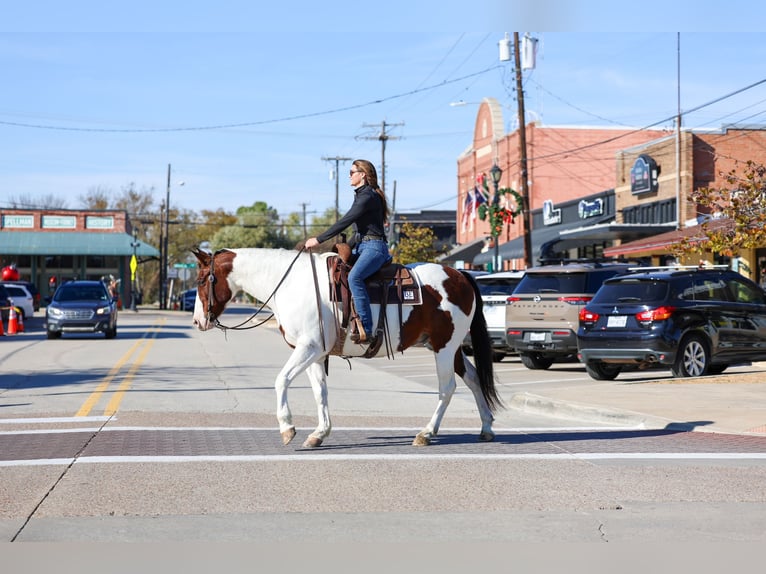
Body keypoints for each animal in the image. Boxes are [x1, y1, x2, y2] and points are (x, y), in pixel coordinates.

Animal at [191, 247, 502, 448]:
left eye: (200, 280)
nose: (197, 321)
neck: (290, 284)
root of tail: (459, 274)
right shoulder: (316, 353)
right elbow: (320, 391)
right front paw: (319, 433)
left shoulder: (307, 347)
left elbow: (281, 380)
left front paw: (287, 428)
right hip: (450, 348)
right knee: (474, 379)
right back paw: (486, 427)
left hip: (444, 348)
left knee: (447, 388)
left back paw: (426, 433)